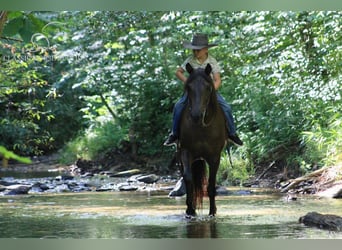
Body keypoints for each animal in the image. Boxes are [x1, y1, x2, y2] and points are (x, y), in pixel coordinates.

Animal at [179, 63, 227, 217]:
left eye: (208, 87)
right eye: (189, 87)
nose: (196, 115)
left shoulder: (215, 156)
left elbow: (211, 184)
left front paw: (212, 212)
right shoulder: (185, 151)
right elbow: (188, 179)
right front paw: (190, 210)